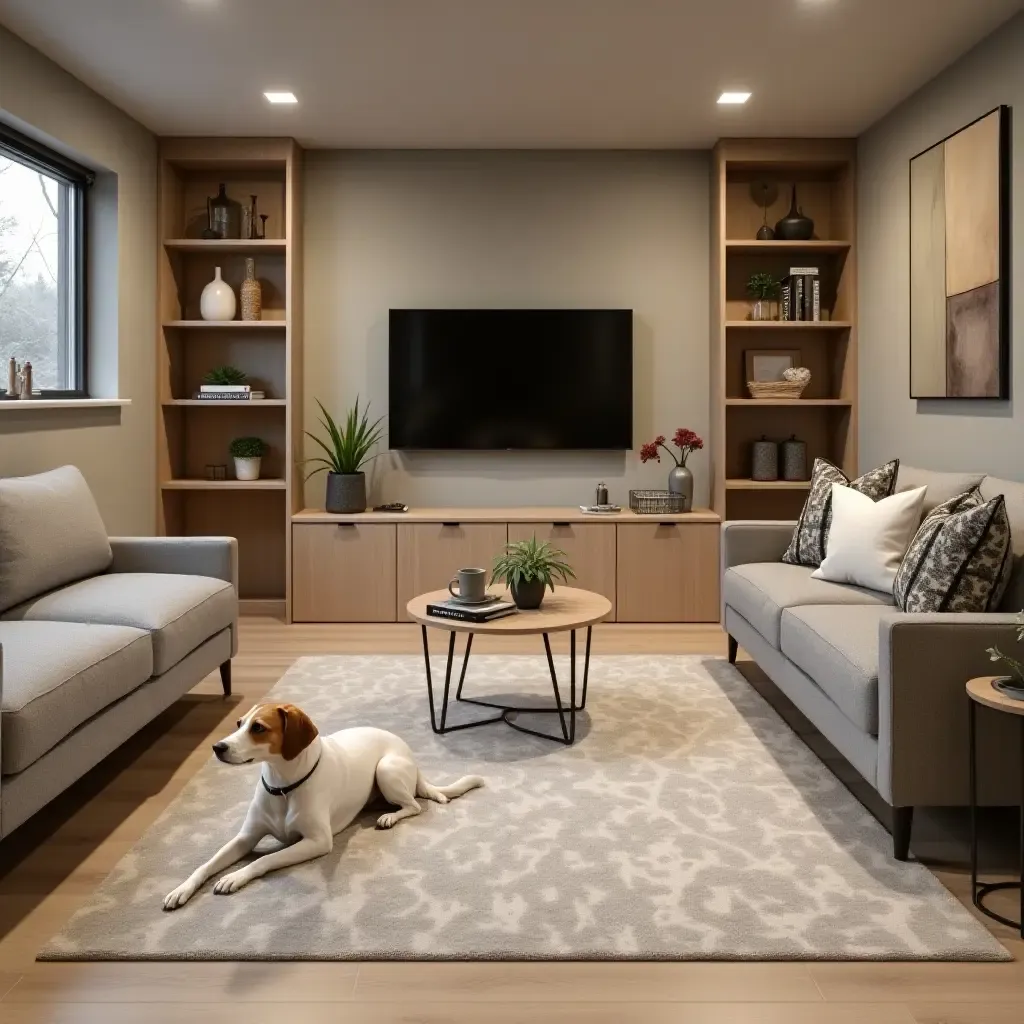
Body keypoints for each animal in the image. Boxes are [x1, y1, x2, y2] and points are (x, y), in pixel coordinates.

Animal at [163, 704, 483, 913]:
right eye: (239, 723)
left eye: (258, 728)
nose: (217, 747)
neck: (283, 786)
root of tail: (412, 758)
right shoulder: (245, 838)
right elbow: (206, 865)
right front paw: (181, 889)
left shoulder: (317, 841)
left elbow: (264, 860)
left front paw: (234, 877)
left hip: (387, 770)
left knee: (414, 805)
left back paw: (389, 816)